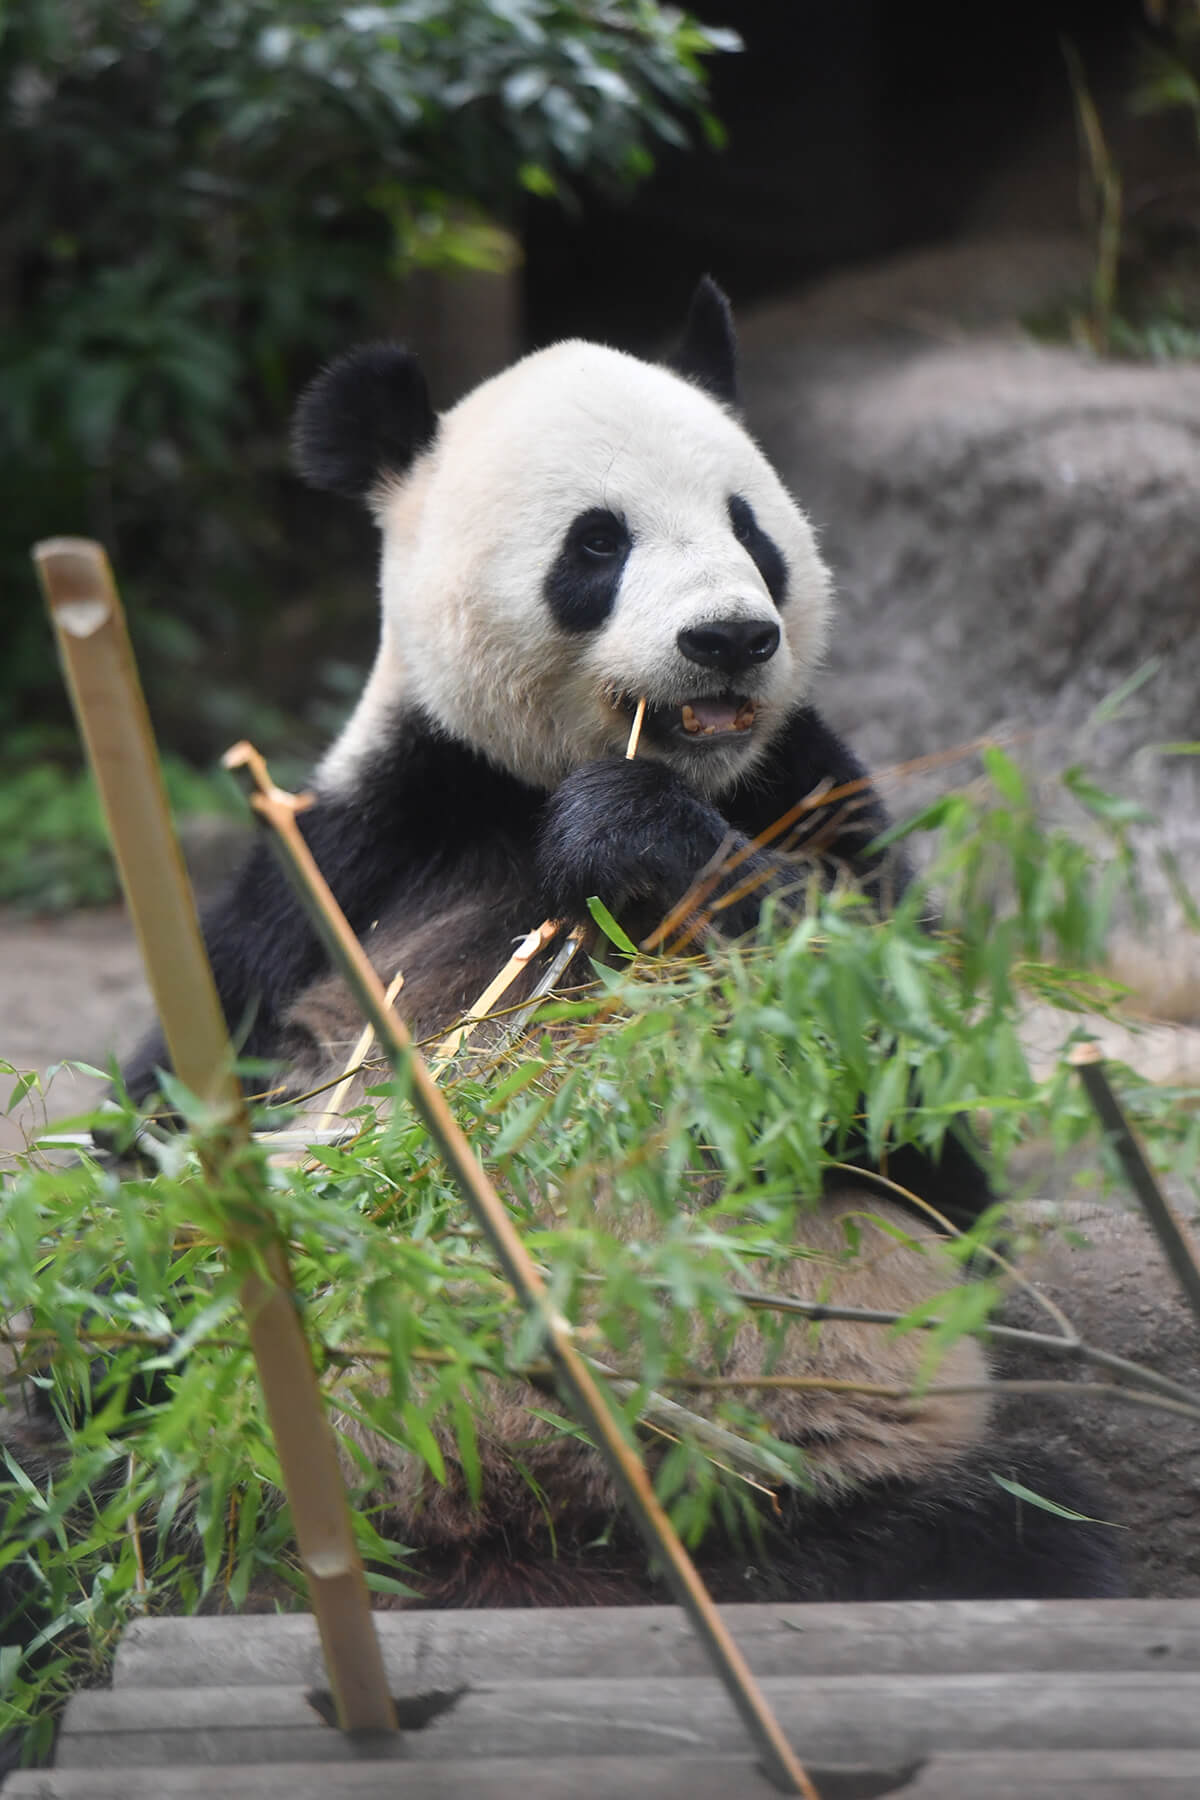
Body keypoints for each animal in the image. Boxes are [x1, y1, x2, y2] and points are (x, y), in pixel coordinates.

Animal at [116, 277, 1122, 1605]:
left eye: (751, 527)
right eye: (597, 544)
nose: (731, 638)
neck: (540, 783)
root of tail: (530, 1539)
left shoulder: (821, 805)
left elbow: (927, 1133)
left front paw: (632, 841)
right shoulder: (353, 856)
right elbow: (171, 1122)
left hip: (848, 1466)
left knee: (1013, 1526)